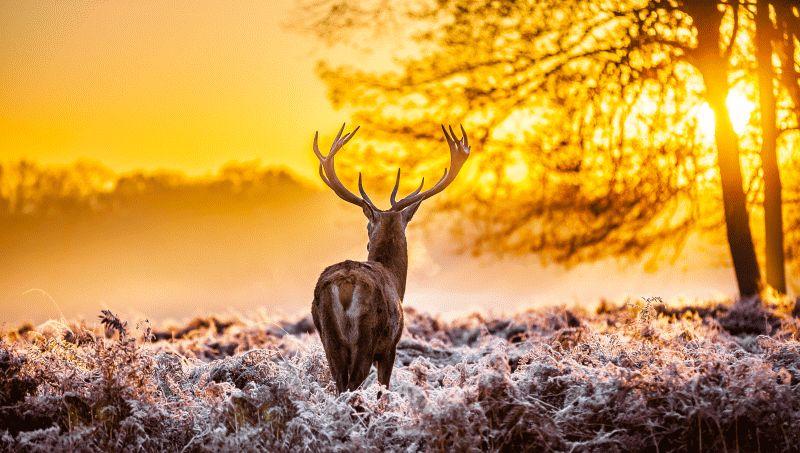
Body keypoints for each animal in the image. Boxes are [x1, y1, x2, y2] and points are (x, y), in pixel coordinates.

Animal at [311, 124, 470, 393]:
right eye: (367, 225)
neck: (395, 279)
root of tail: (345, 283)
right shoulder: (390, 347)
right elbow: (383, 386)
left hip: (328, 337)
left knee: (339, 382)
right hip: (367, 335)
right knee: (353, 384)